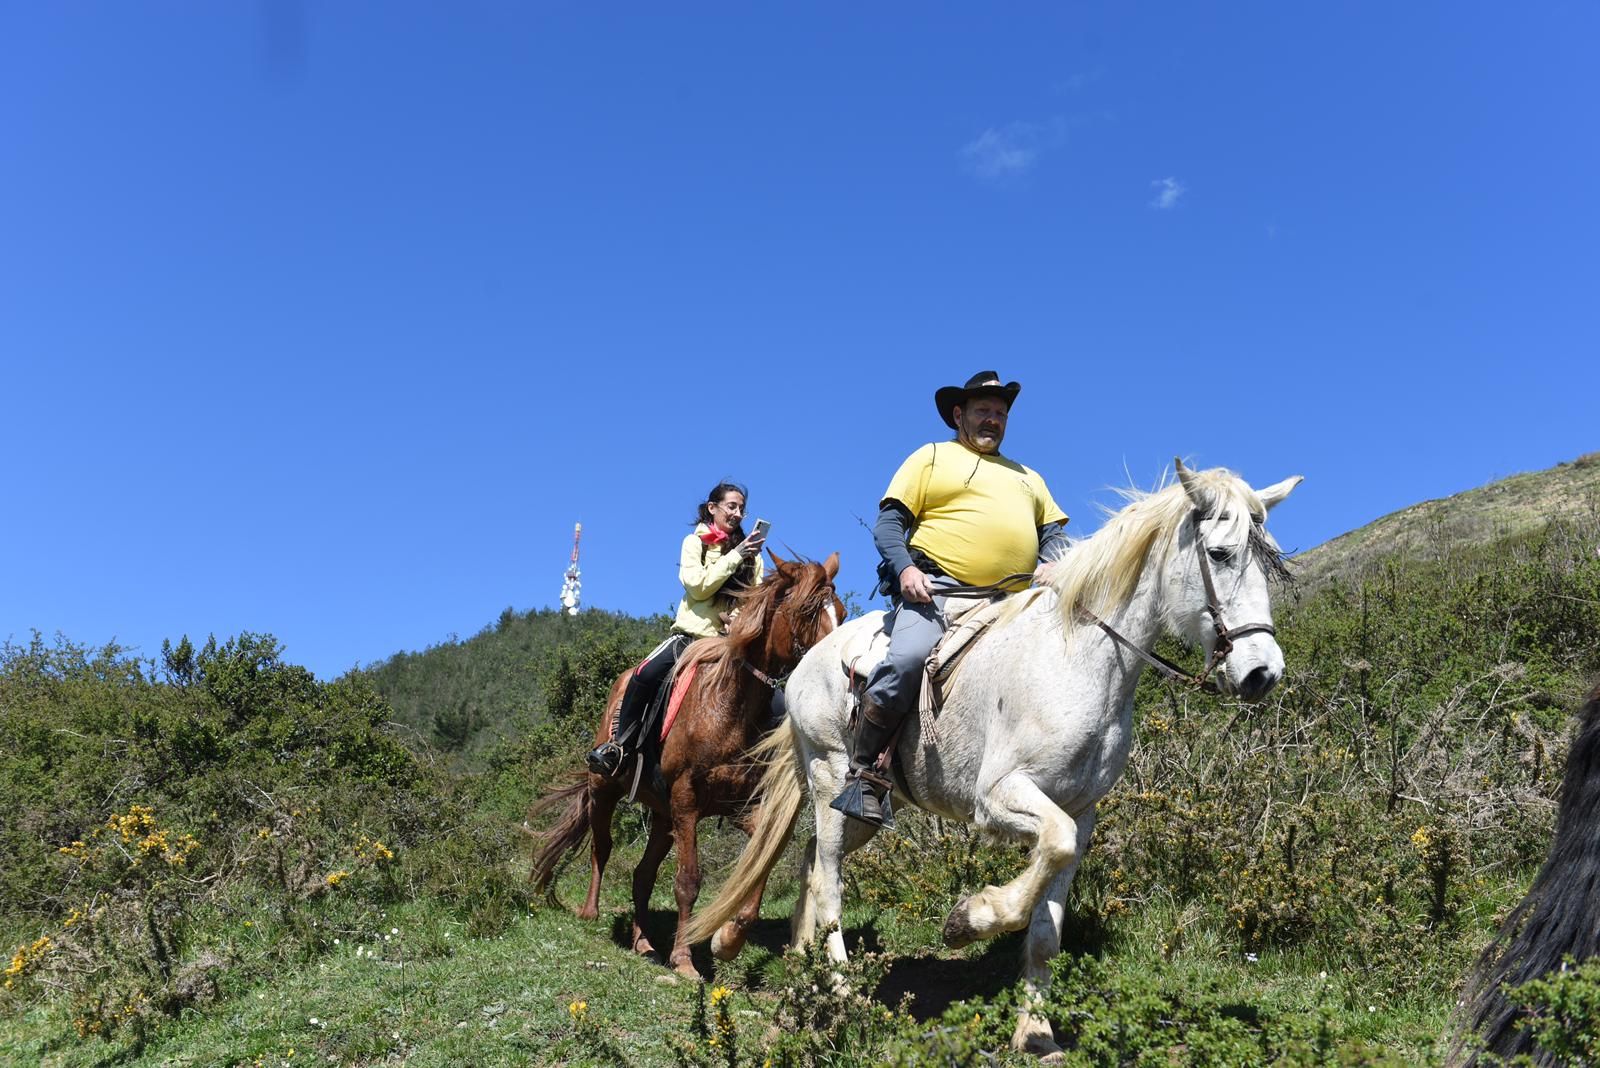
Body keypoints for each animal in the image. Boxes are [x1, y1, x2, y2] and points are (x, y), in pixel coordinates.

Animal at [528, 549, 851, 978]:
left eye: (842, 613)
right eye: (807, 611)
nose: (839, 666)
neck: (728, 707)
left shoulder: (741, 808)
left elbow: (760, 864)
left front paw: (728, 941)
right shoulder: (687, 803)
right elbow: (687, 882)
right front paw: (684, 960)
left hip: (663, 818)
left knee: (642, 875)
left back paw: (643, 942)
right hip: (605, 790)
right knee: (602, 847)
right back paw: (590, 911)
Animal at [684, 460, 1299, 1061]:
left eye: (1268, 556)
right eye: (1219, 553)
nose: (1262, 673)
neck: (1077, 658)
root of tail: (806, 663)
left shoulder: (1081, 813)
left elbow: (1048, 924)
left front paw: (1037, 1033)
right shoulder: (1002, 797)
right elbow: (1047, 851)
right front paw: (966, 921)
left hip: (861, 812)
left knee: (813, 862)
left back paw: (805, 974)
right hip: (833, 774)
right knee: (829, 878)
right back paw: (839, 989)